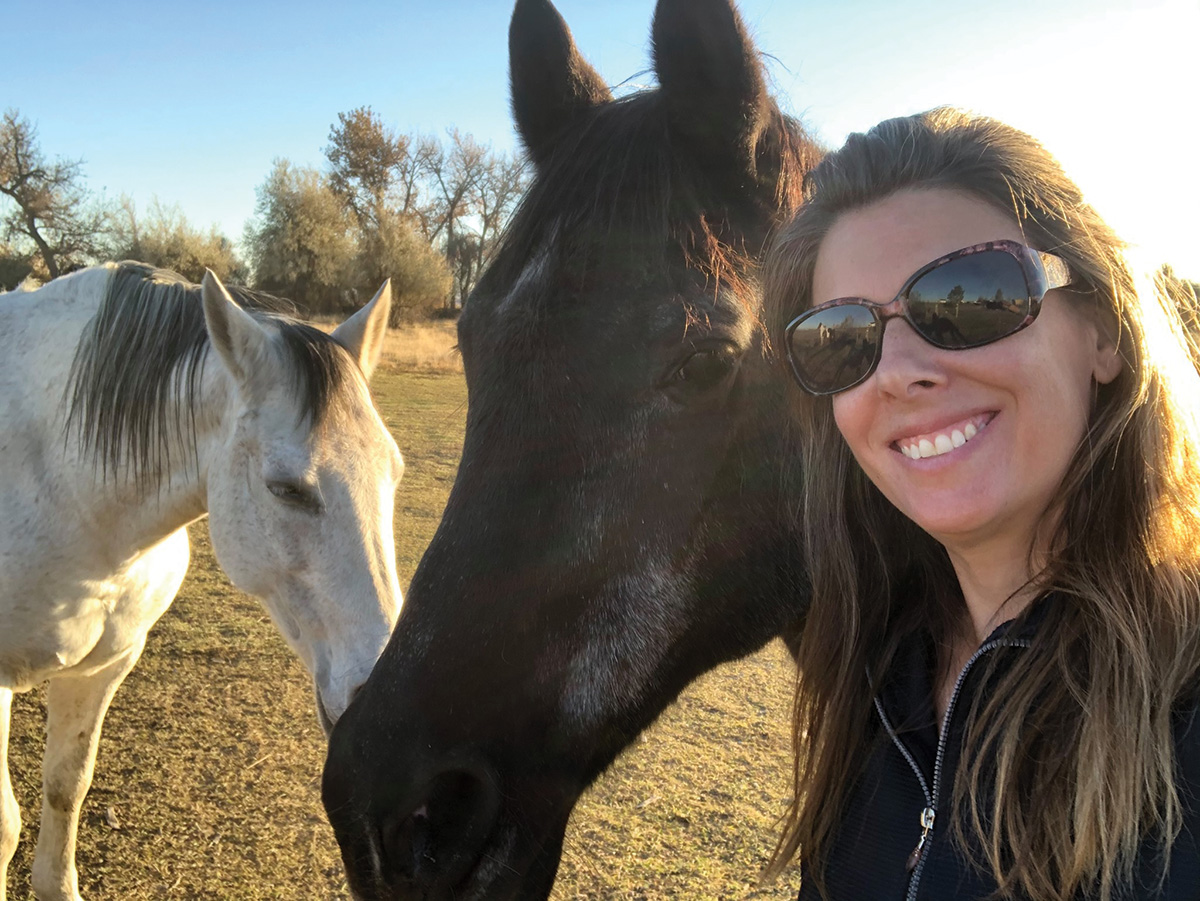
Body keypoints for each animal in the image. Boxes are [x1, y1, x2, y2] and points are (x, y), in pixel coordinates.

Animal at [0, 263, 403, 897]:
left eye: (394, 472)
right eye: (286, 489)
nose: (380, 705)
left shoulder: (104, 667)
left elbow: (67, 787)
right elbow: (4, 826)